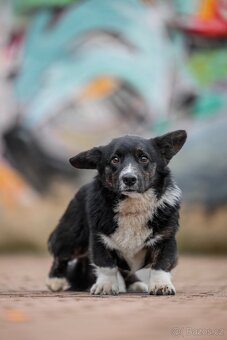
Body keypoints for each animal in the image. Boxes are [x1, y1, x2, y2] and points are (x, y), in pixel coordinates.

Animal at [45, 130, 186, 294]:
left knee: (127, 271)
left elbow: (161, 265)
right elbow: (107, 266)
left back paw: (135, 284)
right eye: (115, 160)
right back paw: (55, 280)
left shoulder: (166, 240)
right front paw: (105, 286)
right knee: (60, 255)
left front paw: (161, 286)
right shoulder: (100, 240)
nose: (129, 179)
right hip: (73, 238)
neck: (132, 206)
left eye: (143, 158)